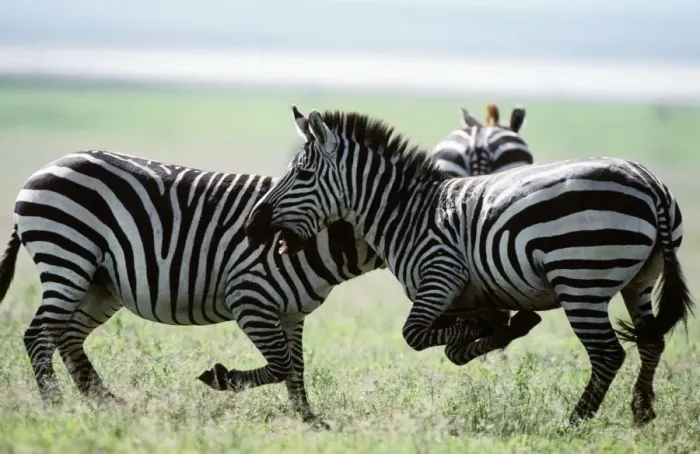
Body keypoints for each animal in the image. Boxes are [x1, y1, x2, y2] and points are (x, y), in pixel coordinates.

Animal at [0, 149, 498, 424]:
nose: (485, 315)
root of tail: (44, 168)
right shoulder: (250, 298)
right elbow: (279, 366)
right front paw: (221, 379)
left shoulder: (291, 312)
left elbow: (295, 370)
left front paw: (308, 421)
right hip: (68, 255)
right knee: (38, 334)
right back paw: (55, 404)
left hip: (99, 283)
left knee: (66, 335)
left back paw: (103, 402)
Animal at [244, 107, 694, 426]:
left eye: (302, 174)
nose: (253, 225)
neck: (407, 214)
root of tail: (649, 183)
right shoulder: (470, 296)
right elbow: (458, 349)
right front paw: (503, 328)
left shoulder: (440, 275)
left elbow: (415, 336)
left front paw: (487, 331)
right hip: (640, 281)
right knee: (651, 340)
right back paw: (641, 412)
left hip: (581, 282)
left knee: (608, 354)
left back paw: (576, 420)